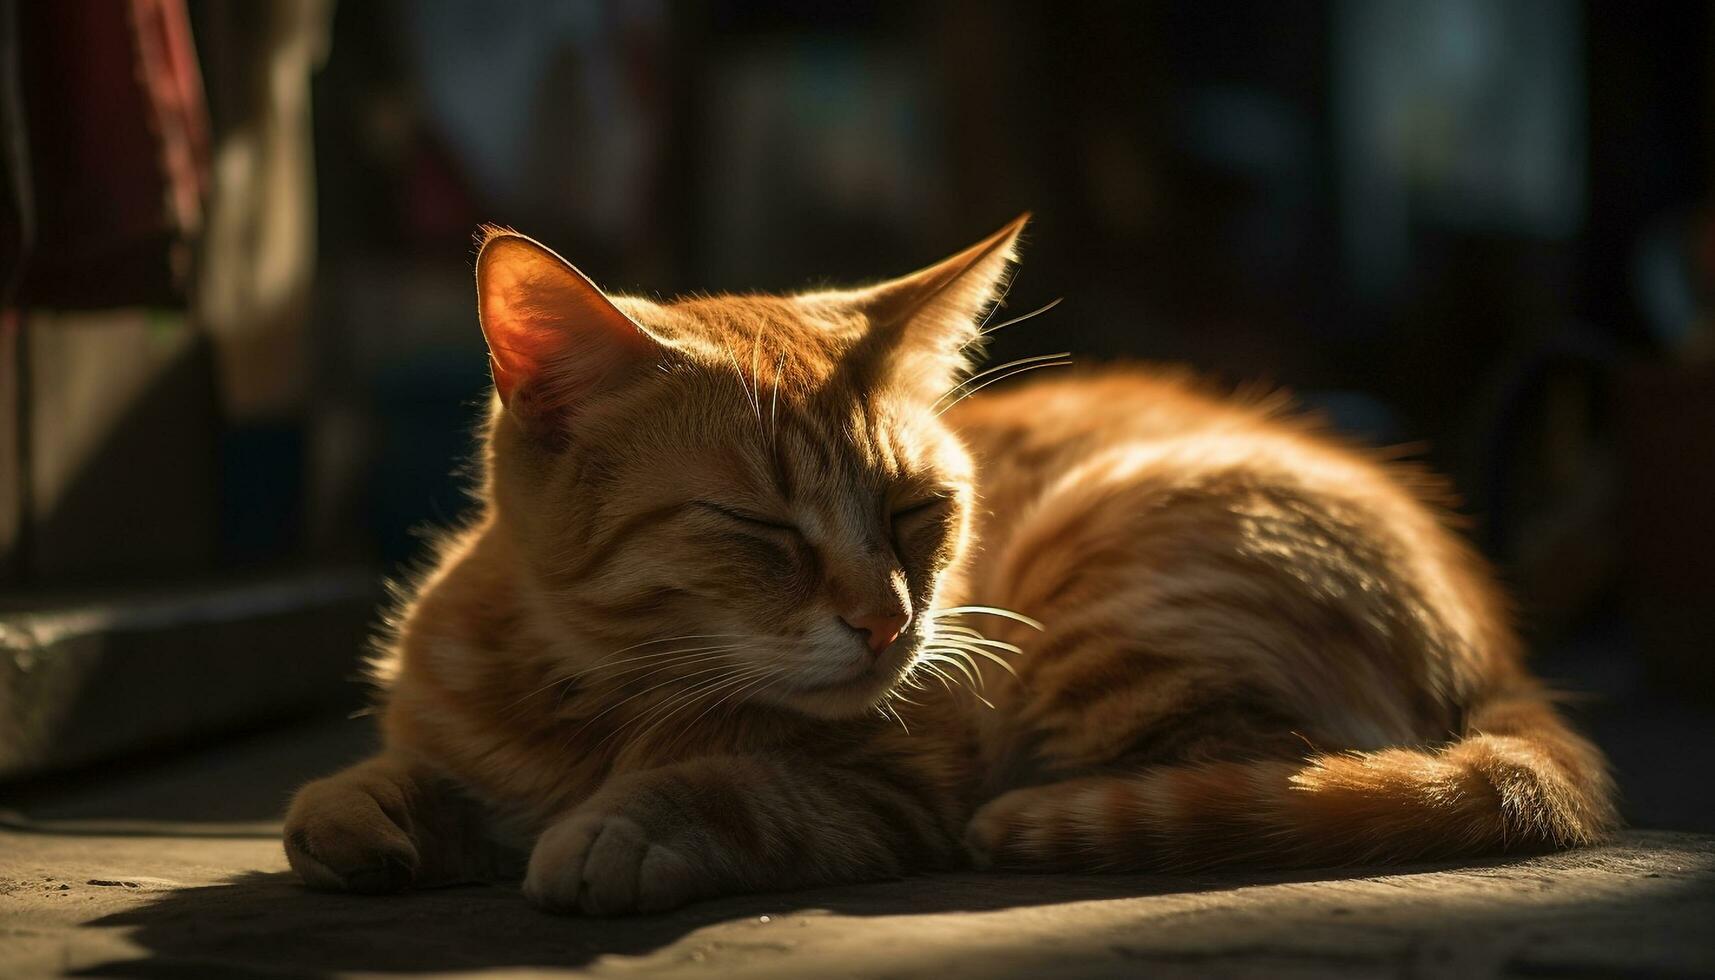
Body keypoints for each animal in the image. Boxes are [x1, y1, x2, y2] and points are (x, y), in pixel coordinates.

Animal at [281, 214, 1605, 913]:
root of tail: (1497, 636)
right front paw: (360, 808)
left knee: (1274, 775)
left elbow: (743, 783)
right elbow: (372, 781)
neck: (595, 698)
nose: (887, 621)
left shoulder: (903, 782)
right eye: (761, 528)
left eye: (915, 510)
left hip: (1118, 600)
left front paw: (623, 824)